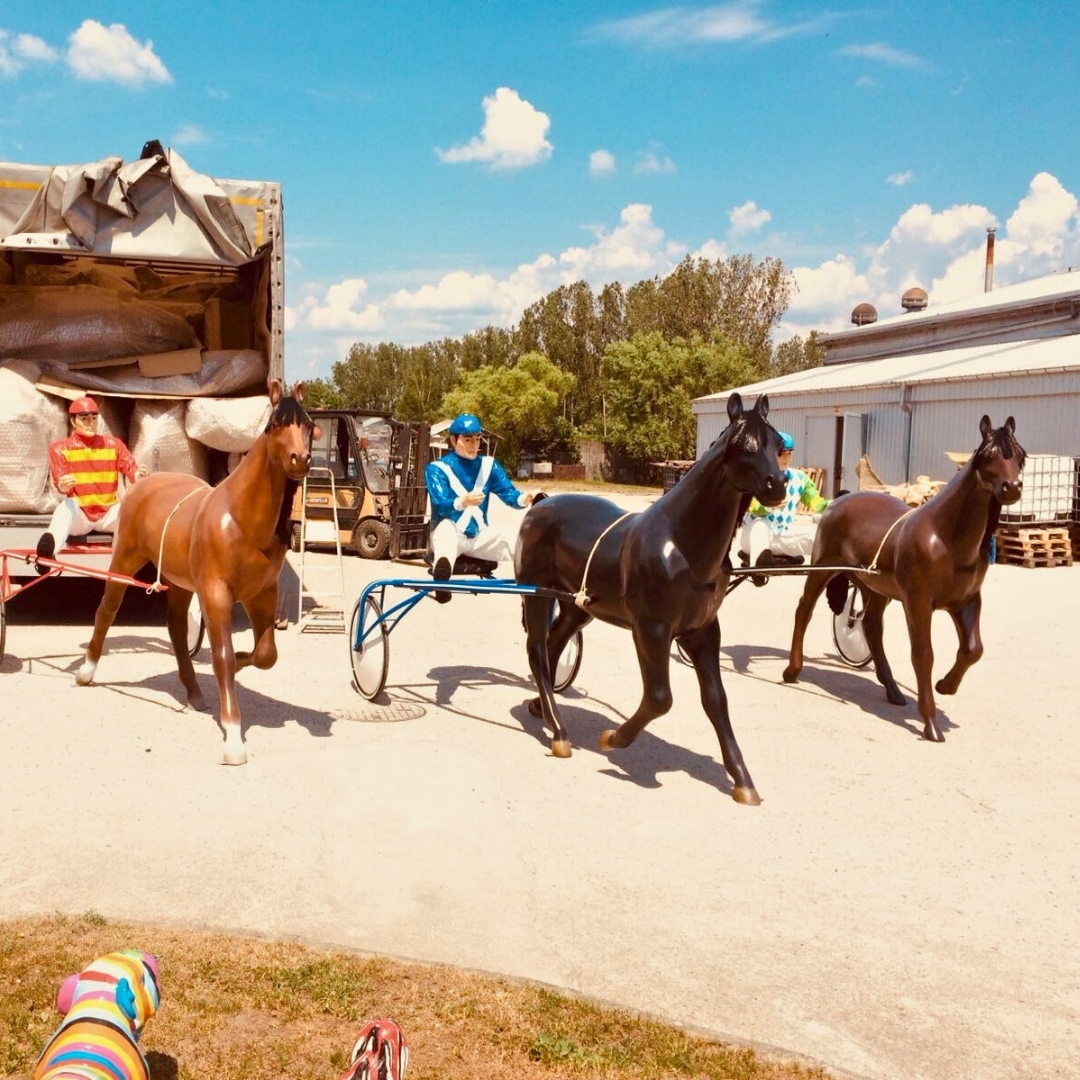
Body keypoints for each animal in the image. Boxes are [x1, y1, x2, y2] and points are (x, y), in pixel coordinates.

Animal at [76, 380, 316, 765]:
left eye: (308, 424)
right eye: (276, 424)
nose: (301, 459)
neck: (240, 520)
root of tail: (144, 483)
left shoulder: (262, 594)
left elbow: (265, 654)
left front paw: (243, 662)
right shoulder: (216, 593)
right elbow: (222, 656)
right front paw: (232, 739)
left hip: (179, 583)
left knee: (175, 627)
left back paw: (194, 693)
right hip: (124, 560)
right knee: (106, 610)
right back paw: (86, 672)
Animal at [514, 392, 787, 806]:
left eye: (777, 443)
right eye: (742, 445)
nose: (778, 485)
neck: (681, 545)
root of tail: (540, 503)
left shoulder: (703, 631)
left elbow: (716, 700)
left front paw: (743, 781)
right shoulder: (651, 629)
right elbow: (660, 698)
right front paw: (613, 739)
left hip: (577, 605)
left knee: (552, 643)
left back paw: (540, 709)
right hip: (536, 593)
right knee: (537, 650)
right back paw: (559, 734)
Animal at [782, 415, 1025, 742]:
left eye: (1020, 455)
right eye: (988, 455)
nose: (1012, 487)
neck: (946, 538)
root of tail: (838, 502)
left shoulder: (967, 601)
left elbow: (973, 650)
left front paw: (945, 686)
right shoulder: (918, 602)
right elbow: (923, 654)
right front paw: (931, 723)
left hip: (874, 588)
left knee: (871, 627)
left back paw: (893, 690)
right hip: (823, 568)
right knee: (804, 611)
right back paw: (792, 671)